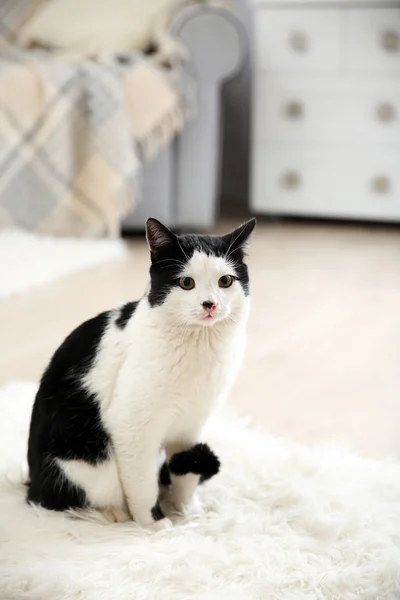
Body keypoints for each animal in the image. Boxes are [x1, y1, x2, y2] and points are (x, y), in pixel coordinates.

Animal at [26, 217, 255, 528]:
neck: (199, 347)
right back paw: (112, 512)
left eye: (225, 281)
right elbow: (143, 485)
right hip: (84, 463)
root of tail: (30, 483)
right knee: (63, 500)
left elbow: (185, 473)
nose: (210, 304)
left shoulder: (190, 426)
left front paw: (189, 513)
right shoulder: (131, 425)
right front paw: (155, 525)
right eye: (186, 283)